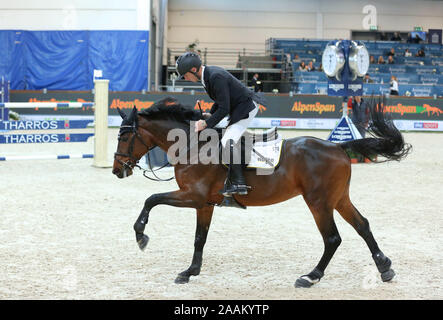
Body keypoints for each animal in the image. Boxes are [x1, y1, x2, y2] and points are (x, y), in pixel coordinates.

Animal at [112, 97, 412, 288]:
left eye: (124, 137)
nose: (117, 170)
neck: (192, 147)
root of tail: (337, 146)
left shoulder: (192, 196)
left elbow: (151, 200)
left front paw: (141, 235)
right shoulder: (204, 204)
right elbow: (199, 239)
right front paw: (190, 272)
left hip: (318, 202)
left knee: (332, 238)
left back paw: (311, 277)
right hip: (338, 199)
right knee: (362, 225)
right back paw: (384, 267)